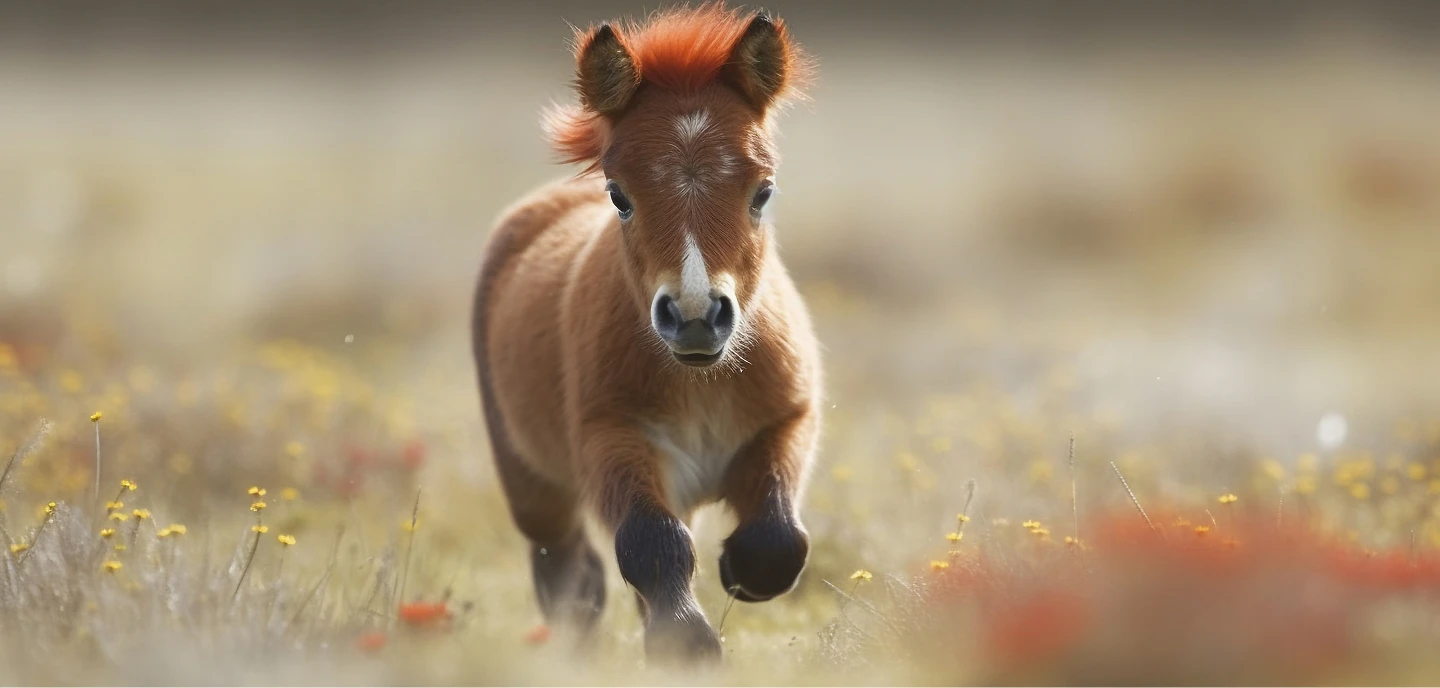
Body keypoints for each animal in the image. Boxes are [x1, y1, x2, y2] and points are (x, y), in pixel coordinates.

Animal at [471, 3, 821, 663]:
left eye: (763, 192)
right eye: (620, 196)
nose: (695, 315)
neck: (701, 378)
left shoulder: (785, 422)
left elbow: (777, 538)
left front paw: (736, 572)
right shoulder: (610, 439)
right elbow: (652, 543)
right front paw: (686, 645)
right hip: (534, 487)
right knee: (569, 575)